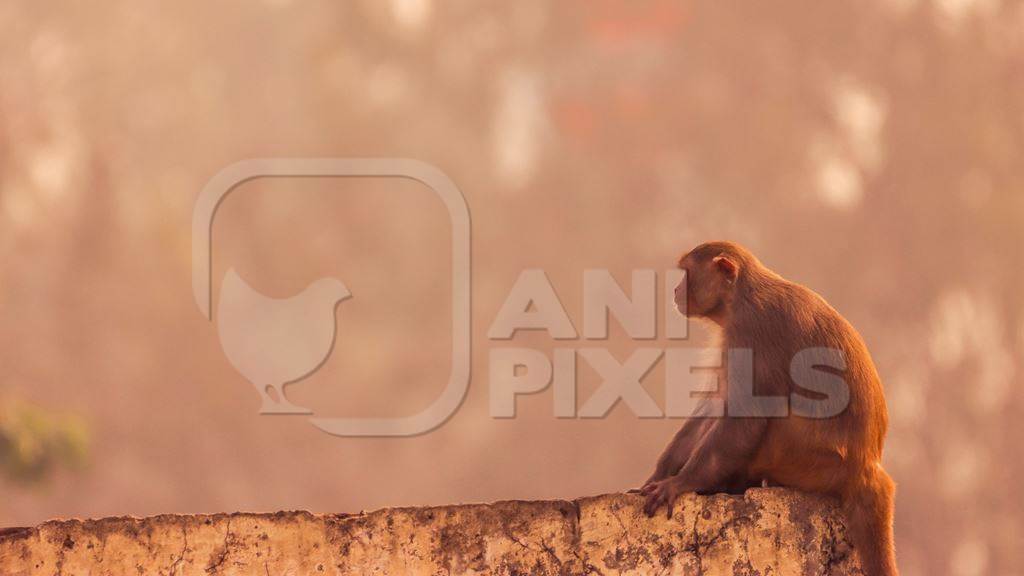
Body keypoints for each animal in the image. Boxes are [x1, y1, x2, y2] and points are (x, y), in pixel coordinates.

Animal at [643, 240, 901, 573]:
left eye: (687, 273)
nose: (676, 290)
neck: (740, 295)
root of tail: (866, 465)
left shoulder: (752, 332)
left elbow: (744, 416)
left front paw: (680, 482)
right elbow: (717, 403)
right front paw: (660, 474)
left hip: (805, 458)